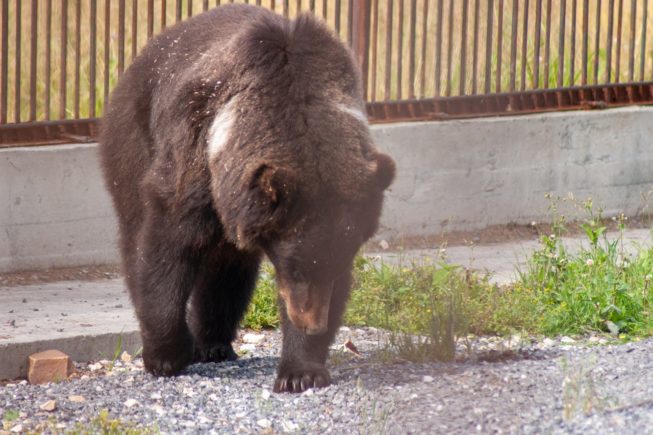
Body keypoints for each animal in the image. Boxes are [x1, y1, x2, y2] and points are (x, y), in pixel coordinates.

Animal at [99, 2, 394, 396]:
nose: (313, 322)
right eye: (294, 266)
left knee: (225, 269)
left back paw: (215, 342)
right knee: (136, 233)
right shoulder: (196, 151)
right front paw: (166, 355)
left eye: (337, 262)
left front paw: (300, 371)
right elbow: (168, 244)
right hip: (133, 135)